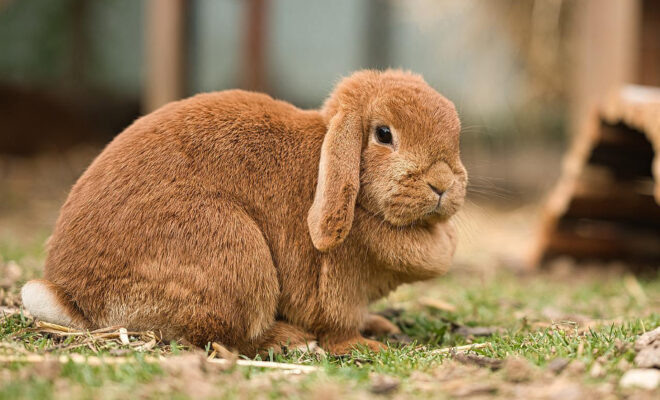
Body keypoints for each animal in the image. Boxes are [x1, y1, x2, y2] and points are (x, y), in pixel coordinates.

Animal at [19, 69, 464, 356]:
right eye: (384, 134)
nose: (442, 183)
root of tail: (73, 299)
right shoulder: (337, 287)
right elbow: (337, 325)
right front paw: (363, 345)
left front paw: (380, 326)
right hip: (235, 256)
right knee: (224, 338)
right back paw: (289, 340)